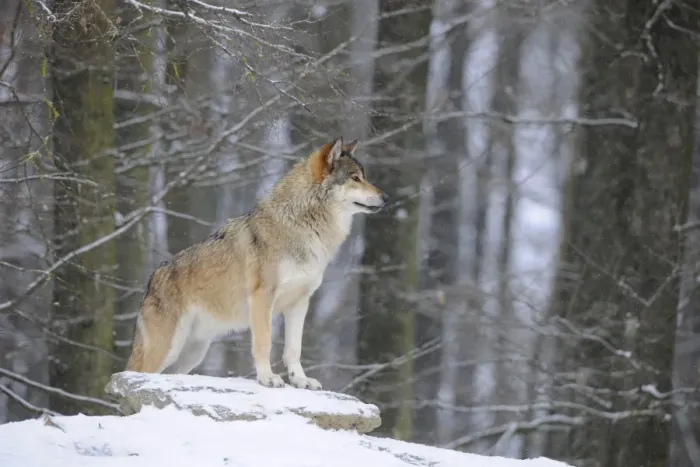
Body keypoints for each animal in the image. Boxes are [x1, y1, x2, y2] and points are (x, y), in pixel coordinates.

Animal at [125, 137, 388, 390]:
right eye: (355, 178)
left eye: (364, 176)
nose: (386, 198)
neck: (303, 227)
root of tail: (151, 280)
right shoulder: (263, 297)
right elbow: (264, 343)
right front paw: (267, 378)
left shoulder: (299, 302)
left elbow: (294, 350)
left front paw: (300, 381)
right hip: (166, 349)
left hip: (193, 353)